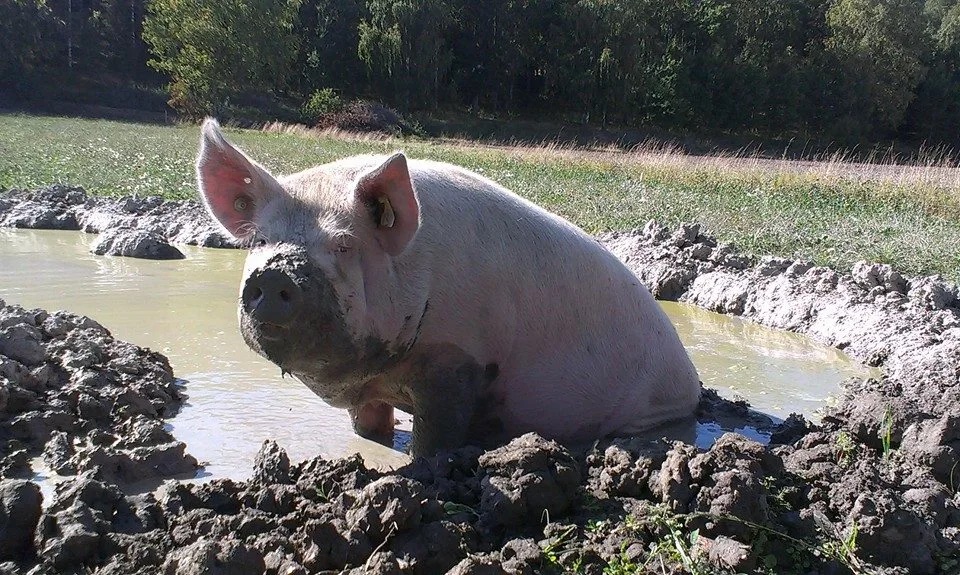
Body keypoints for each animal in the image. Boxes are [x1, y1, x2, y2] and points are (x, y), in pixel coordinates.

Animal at [196, 119, 700, 456]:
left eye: (344, 244)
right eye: (261, 241)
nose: (273, 274)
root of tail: (691, 378)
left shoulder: (456, 361)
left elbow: (436, 435)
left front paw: (425, 468)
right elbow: (368, 426)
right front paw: (370, 443)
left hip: (653, 407)